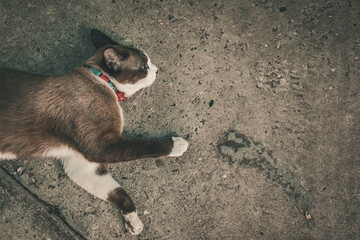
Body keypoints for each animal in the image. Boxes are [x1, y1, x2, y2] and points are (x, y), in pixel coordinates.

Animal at [0, 29, 190, 235]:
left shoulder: (81, 163)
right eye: (144, 66)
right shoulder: (101, 146)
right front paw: (177, 144)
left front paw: (132, 220)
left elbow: (117, 191)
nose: (157, 70)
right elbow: (147, 146)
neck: (104, 82)